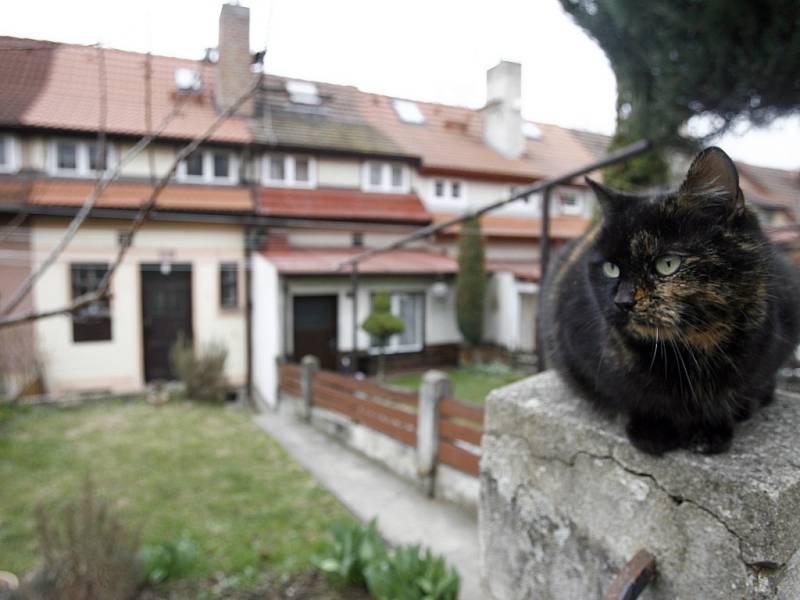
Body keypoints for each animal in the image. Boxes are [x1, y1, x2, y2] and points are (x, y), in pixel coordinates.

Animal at [536, 145, 800, 454]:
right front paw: (652, 430)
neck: (691, 350)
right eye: (611, 268)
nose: (622, 301)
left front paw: (711, 431)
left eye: (667, 264)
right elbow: (629, 395)